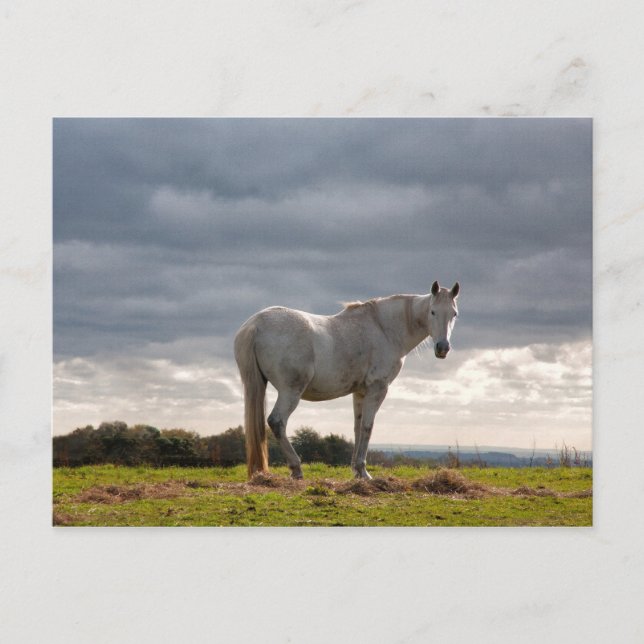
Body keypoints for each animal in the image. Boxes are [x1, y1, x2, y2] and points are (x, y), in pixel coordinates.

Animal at [234, 280, 460, 480]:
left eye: (454, 314)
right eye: (432, 311)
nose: (442, 347)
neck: (384, 328)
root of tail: (256, 324)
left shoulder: (359, 392)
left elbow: (357, 428)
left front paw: (356, 471)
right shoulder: (377, 389)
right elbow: (368, 427)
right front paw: (364, 472)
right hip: (290, 392)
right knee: (277, 421)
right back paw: (296, 468)